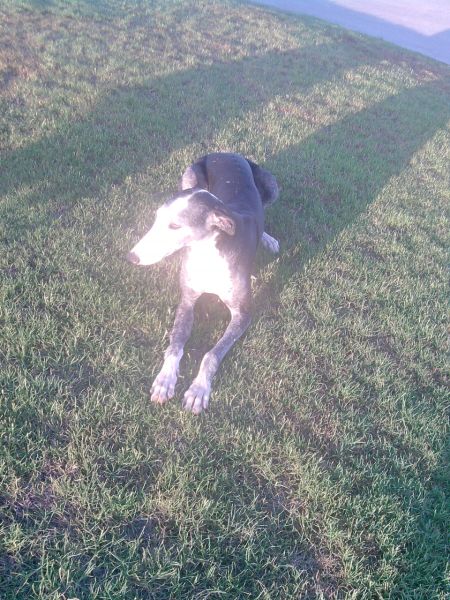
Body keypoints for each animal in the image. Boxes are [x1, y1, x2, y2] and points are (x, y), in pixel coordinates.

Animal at [127, 152, 279, 414]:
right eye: (156, 218)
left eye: (175, 226)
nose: (132, 257)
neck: (207, 252)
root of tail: (227, 152)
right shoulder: (187, 300)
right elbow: (175, 344)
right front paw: (165, 380)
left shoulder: (243, 314)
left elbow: (212, 355)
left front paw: (198, 390)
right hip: (189, 175)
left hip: (271, 186)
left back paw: (268, 239)